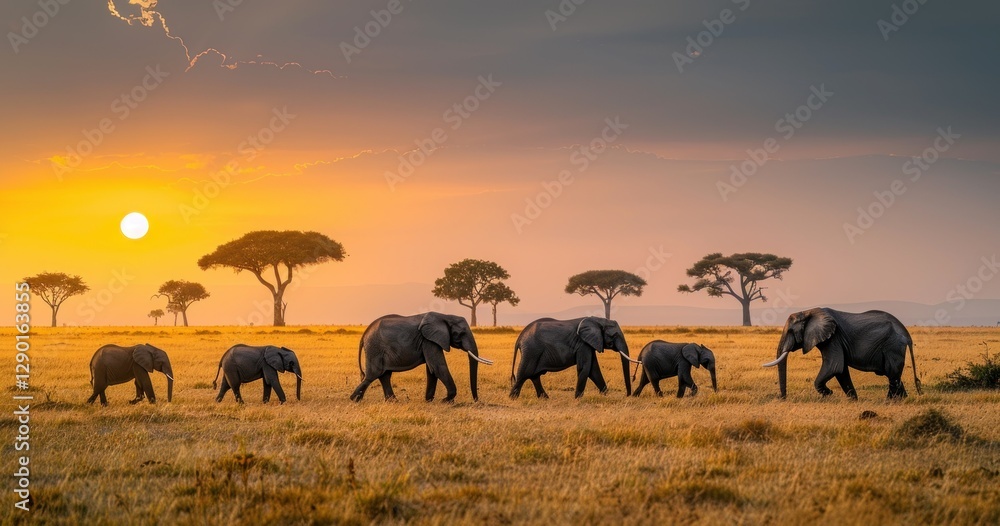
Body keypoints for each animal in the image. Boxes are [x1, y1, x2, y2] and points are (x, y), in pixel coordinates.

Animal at [350, 312, 493, 403]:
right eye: (461, 333)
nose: (476, 400)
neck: (445, 316)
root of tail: (364, 335)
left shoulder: (430, 340)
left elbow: (432, 369)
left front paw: (428, 400)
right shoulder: (429, 340)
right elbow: (437, 367)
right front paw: (445, 401)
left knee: (384, 375)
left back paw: (392, 401)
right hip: (375, 349)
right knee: (373, 375)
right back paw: (354, 400)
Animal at [509, 317, 639, 399]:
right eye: (614, 335)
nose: (628, 395)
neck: (597, 320)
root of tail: (520, 338)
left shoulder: (589, 344)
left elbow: (593, 370)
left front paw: (606, 395)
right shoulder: (582, 344)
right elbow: (585, 368)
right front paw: (578, 398)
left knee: (534, 376)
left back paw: (544, 398)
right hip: (532, 350)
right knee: (524, 373)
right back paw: (513, 398)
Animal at [764, 308, 922, 399]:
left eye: (791, 331)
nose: (783, 398)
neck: (809, 311)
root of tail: (907, 335)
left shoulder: (833, 338)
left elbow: (834, 367)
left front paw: (828, 394)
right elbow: (841, 370)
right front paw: (853, 400)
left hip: (892, 347)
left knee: (892, 373)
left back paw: (890, 401)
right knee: (894, 375)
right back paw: (902, 400)